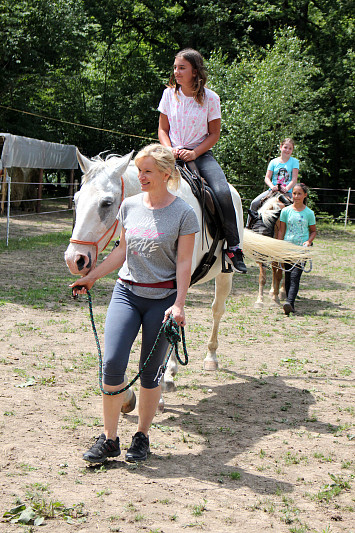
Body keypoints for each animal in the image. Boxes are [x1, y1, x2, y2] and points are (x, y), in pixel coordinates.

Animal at [65, 152, 312, 410]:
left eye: (107, 202)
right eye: (76, 199)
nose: (75, 259)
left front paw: (156, 394)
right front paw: (131, 392)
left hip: (225, 275)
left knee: (215, 311)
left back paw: (210, 358)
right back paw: (171, 372)